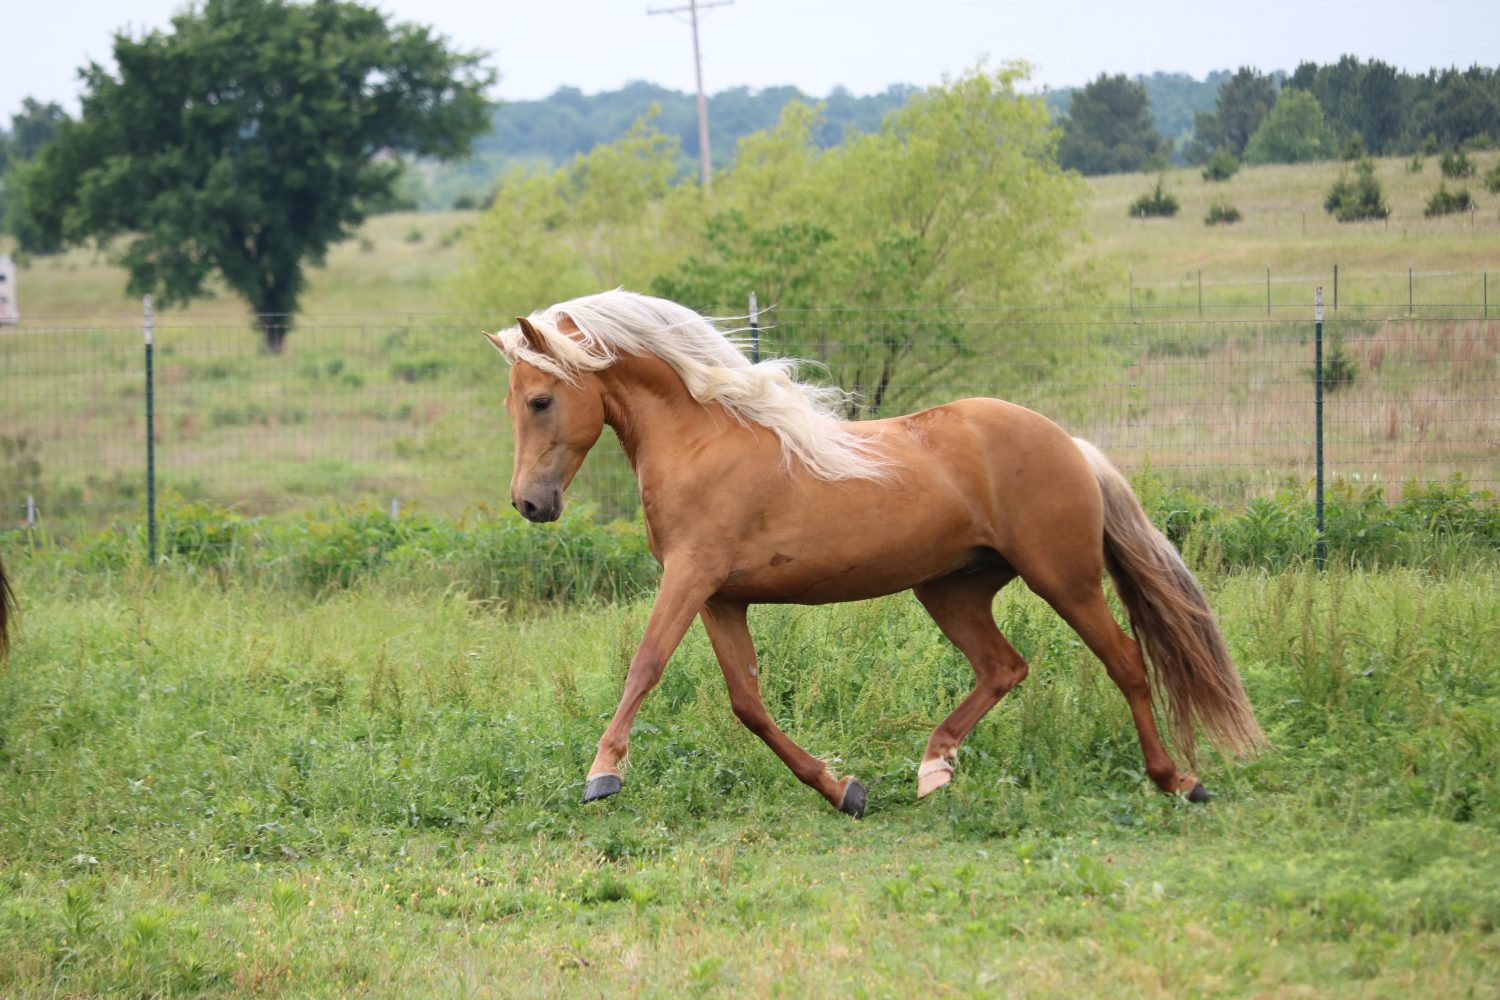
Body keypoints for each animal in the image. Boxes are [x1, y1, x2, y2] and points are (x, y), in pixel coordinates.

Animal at [486, 287, 1260, 815]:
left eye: (541, 400)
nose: (530, 504)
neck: (704, 438)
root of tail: (1070, 445)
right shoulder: (722, 597)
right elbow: (748, 703)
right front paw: (844, 789)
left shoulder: (691, 577)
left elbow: (645, 665)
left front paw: (602, 773)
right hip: (950, 589)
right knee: (1004, 667)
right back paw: (933, 767)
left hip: (1063, 580)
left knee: (1125, 662)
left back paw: (1179, 780)